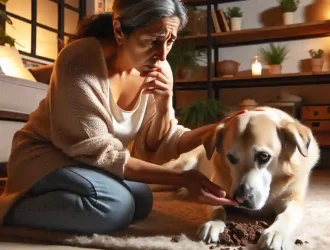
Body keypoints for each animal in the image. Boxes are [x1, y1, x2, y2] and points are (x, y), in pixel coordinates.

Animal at [165, 106, 320, 249]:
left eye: (264, 156)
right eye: (231, 158)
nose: (241, 198)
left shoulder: (294, 201)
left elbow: (287, 215)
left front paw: (276, 233)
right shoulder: (213, 192)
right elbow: (218, 208)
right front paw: (214, 223)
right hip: (181, 166)